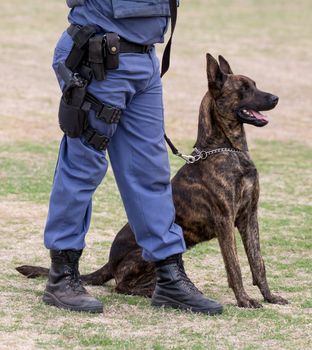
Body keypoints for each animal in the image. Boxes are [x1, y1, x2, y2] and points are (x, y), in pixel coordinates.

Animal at [18, 53, 288, 308]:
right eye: (244, 88)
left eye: (254, 84)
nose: (276, 98)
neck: (227, 149)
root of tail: (110, 262)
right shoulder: (225, 221)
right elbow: (234, 266)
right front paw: (244, 300)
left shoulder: (248, 217)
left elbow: (257, 262)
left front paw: (269, 296)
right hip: (143, 255)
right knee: (122, 285)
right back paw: (155, 292)